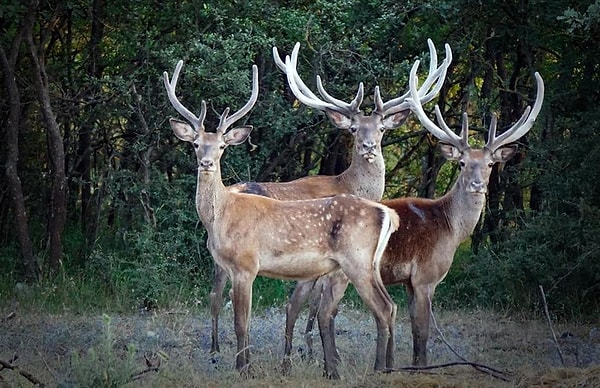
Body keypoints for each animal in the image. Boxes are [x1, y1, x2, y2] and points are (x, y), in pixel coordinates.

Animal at [163, 60, 404, 378]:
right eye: (195, 144)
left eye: (222, 146)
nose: (206, 163)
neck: (222, 217)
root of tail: (387, 213)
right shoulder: (229, 266)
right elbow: (240, 317)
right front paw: (244, 364)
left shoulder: (246, 265)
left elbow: (241, 322)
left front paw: (244, 368)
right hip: (366, 264)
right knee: (390, 305)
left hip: (356, 260)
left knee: (382, 307)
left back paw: (378, 368)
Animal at [209, 37, 452, 366]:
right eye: (353, 128)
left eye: (381, 128)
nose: (368, 146)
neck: (346, 183)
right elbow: (313, 307)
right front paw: (312, 354)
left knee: (214, 294)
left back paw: (215, 348)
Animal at [288, 63, 548, 366]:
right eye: (462, 163)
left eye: (490, 163)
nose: (477, 185)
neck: (450, 227)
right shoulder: (425, 276)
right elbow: (422, 330)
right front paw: (420, 366)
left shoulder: (410, 283)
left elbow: (413, 327)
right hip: (343, 270)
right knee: (323, 310)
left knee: (299, 305)